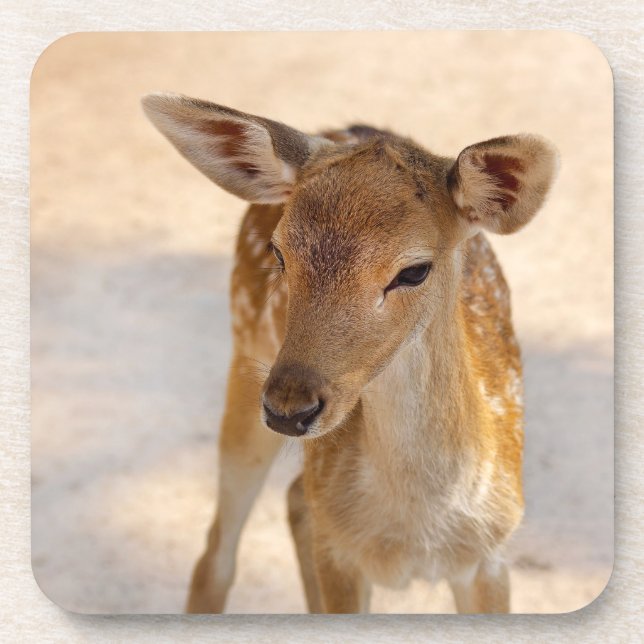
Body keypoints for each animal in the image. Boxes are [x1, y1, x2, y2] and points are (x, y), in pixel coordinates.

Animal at [142, 92, 558, 614]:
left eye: (414, 270)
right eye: (279, 253)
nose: (289, 408)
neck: (414, 533)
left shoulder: (491, 557)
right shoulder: (340, 555)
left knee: (295, 500)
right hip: (244, 356)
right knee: (217, 552)